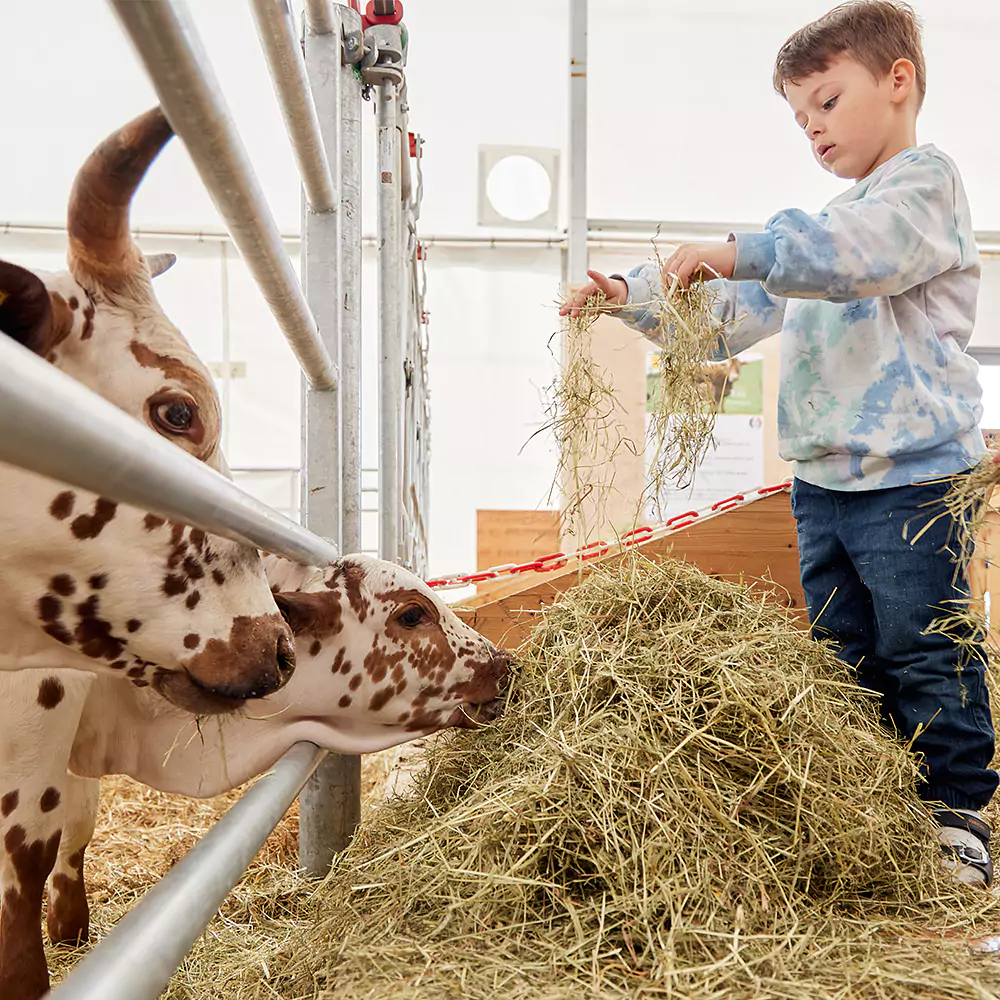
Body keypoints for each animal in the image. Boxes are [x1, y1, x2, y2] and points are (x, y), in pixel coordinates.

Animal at [0, 556, 512, 1000]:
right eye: (411, 614)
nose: (505, 665)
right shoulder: (36, 729)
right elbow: (25, 865)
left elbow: (78, 826)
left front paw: (68, 928)